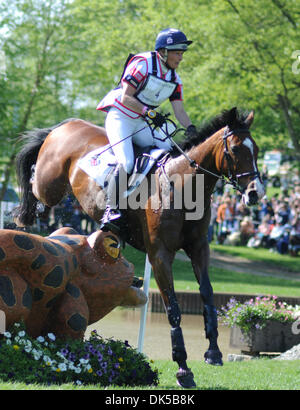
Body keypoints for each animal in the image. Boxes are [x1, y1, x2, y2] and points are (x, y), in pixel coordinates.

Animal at [14, 106, 264, 388]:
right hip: (50, 185)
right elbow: (173, 309)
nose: (256, 193)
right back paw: (23, 217)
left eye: (256, 149)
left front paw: (213, 352)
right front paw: (183, 369)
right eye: (235, 149)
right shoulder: (160, 255)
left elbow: (208, 295)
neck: (183, 186)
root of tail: (66, 125)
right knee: (33, 185)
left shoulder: (199, 248)